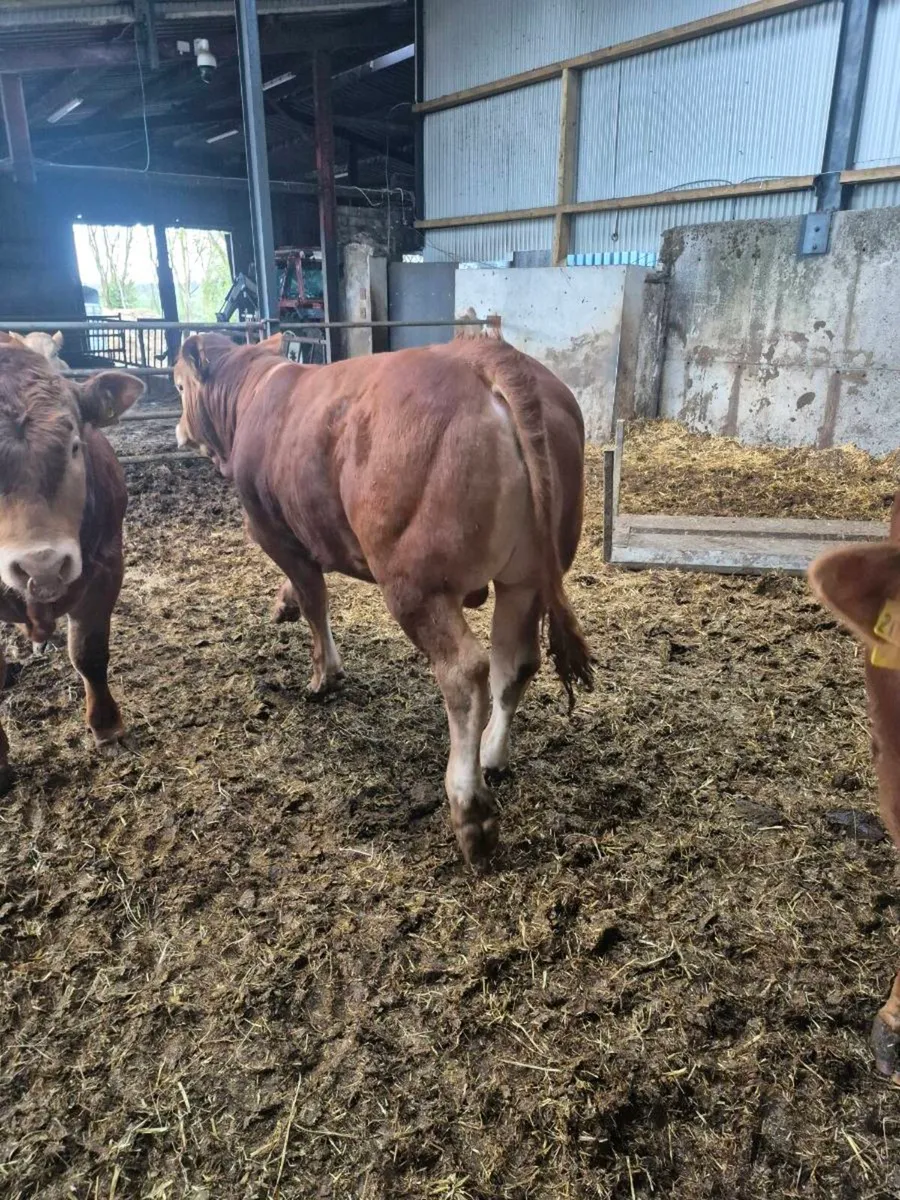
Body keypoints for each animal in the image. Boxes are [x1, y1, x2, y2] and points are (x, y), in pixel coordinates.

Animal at [173, 330, 593, 867]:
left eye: (178, 385)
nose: (179, 431)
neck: (254, 390)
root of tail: (486, 355)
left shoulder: (272, 529)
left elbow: (315, 601)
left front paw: (322, 676)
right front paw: (283, 605)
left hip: (417, 584)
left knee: (464, 673)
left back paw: (470, 811)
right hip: (526, 577)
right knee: (514, 664)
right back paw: (493, 756)